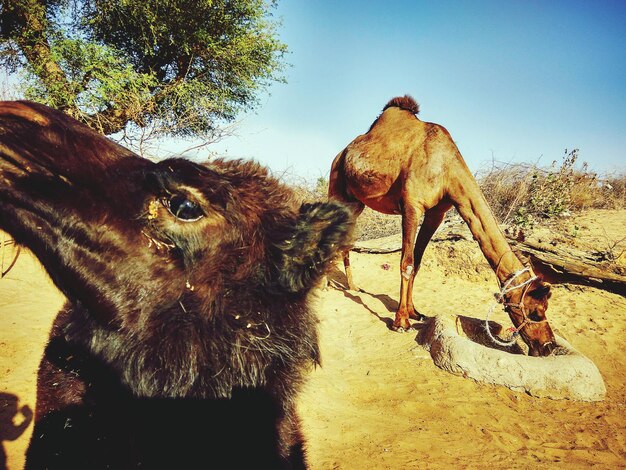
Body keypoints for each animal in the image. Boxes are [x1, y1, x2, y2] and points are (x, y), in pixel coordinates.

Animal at [330, 97, 552, 358]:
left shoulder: (436, 213)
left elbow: (417, 263)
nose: (547, 346)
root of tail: (341, 154)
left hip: (357, 202)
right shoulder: (412, 206)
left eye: (545, 309)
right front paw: (401, 322)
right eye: (535, 311)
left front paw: (414, 312)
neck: (447, 172)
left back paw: (352, 286)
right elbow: (406, 263)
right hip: (337, 188)